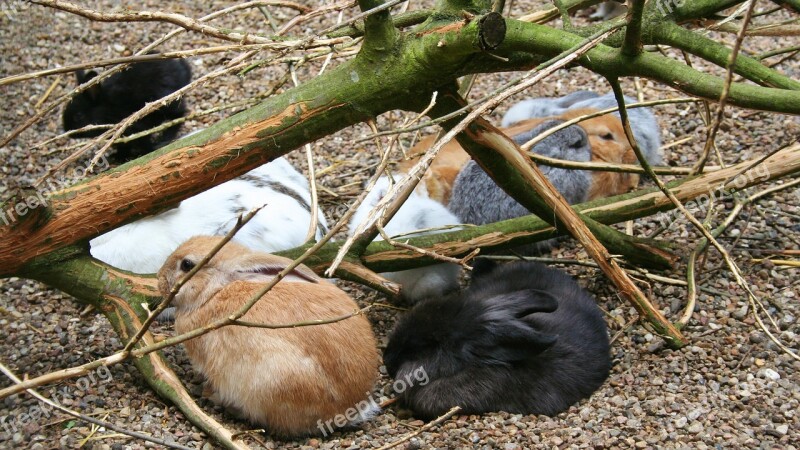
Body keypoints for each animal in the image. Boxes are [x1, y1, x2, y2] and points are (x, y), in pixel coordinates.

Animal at [62, 56, 191, 162]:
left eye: (78, 116)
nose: (68, 133)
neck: (106, 108)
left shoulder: (134, 128)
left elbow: (142, 142)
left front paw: (148, 150)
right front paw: (117, 156)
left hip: (168, 104)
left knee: (179, 115)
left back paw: (164, 139)